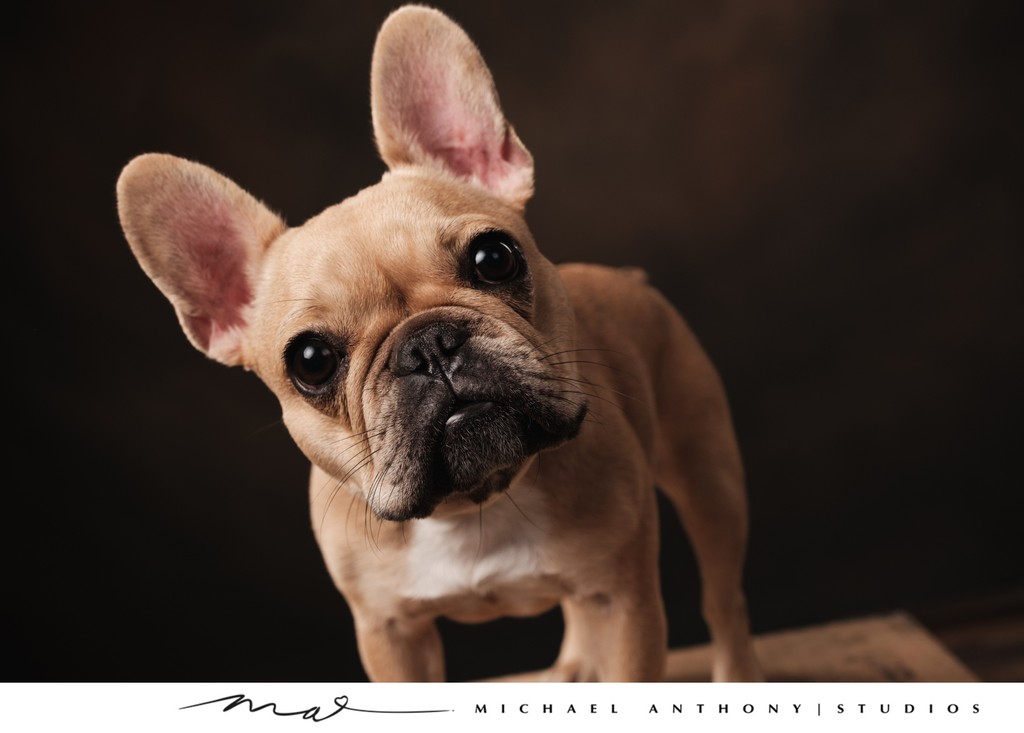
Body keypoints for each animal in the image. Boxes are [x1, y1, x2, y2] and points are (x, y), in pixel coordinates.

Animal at [116, 4, 765, 679]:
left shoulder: (624, 604)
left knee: (724, 599)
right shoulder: (391, 633)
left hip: (710, 477)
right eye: (311, 361)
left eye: (494, 257)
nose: (428, 345)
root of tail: (630, 278)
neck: (474, 505)